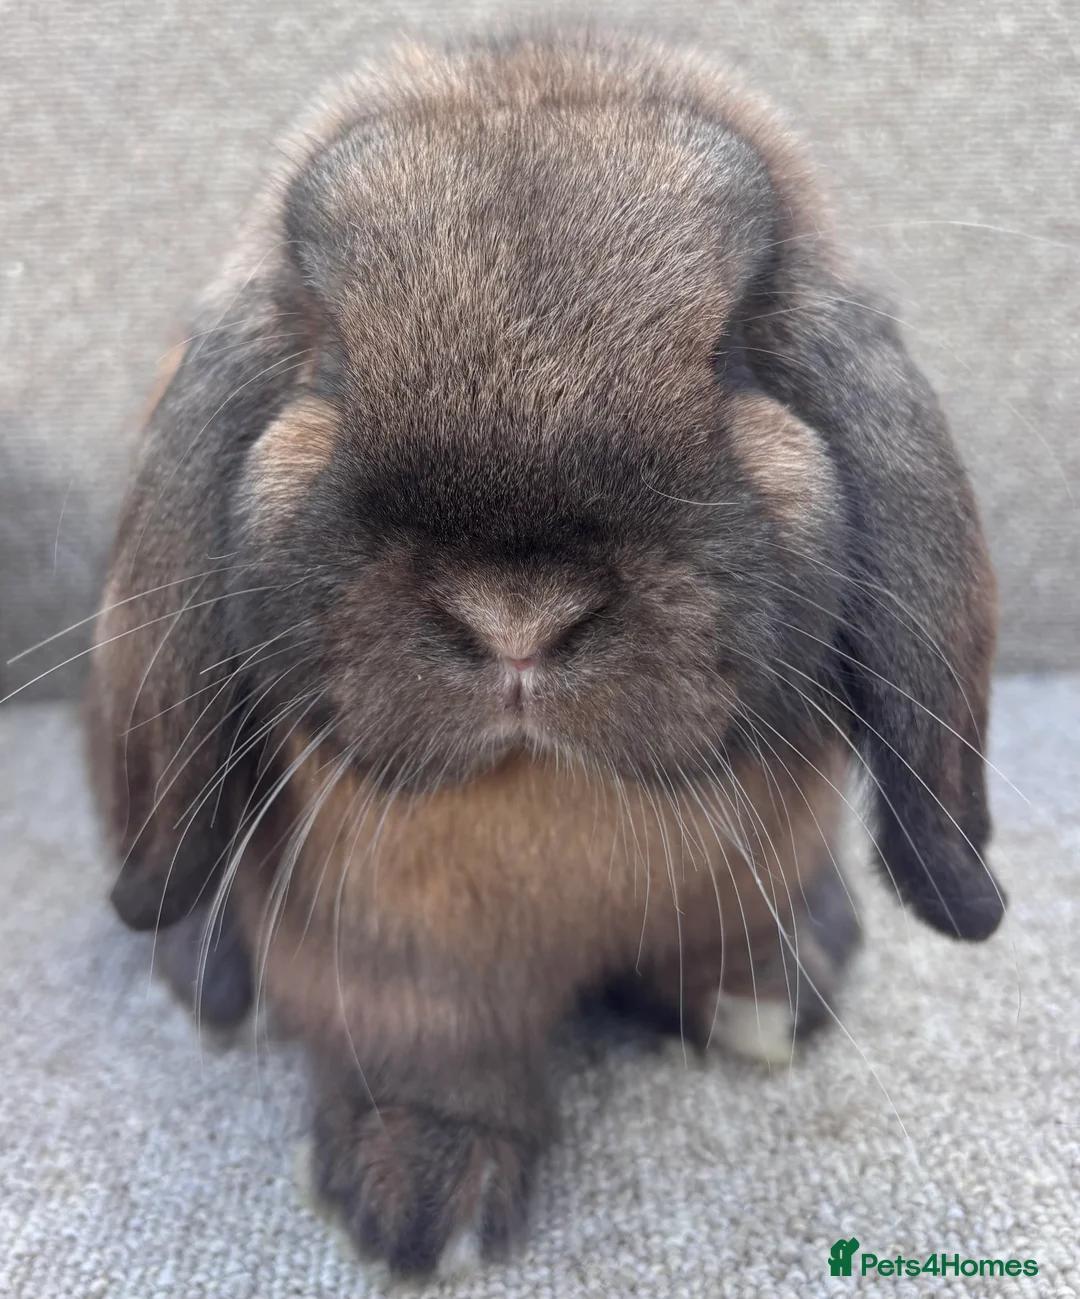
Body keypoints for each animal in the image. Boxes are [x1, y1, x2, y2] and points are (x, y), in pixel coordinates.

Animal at [84, 28, 1004, 1276]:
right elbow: (432, 1054)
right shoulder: (393, 968)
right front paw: (426, 1199)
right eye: (328, 364)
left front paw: (761, 1009)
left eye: (735, 356)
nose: (517, 618)